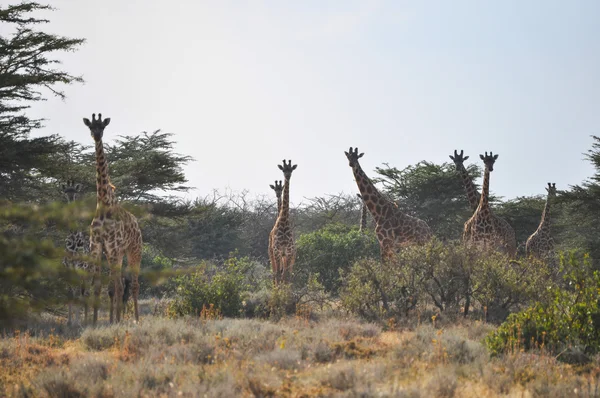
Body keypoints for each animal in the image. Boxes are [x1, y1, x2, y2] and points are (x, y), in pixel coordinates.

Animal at [82, 112, 142, 324]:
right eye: (90, 126)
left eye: (103, 127)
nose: (96, 135)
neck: (103, 204)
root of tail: (138, 225)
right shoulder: (97, 246)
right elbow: (98, 286)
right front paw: (92, 323)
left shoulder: (112, 246)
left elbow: (113, 287)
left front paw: (112, 321)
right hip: (117, 253)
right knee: (119, 284)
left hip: (133, 252)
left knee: (132, 285)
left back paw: (135, 320)